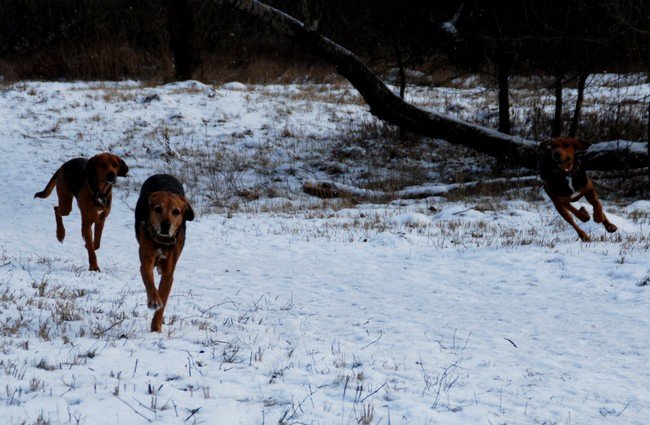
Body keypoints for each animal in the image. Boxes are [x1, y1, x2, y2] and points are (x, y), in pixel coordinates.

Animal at [133, 173, 191, 332]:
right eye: (158, 209)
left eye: (176, 212)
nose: (166, 224)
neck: (161, 241)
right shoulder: (146, 261)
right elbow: (149, 280)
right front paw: (154, 300)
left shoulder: (169, 273)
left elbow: (163, 298)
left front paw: (156, 327)